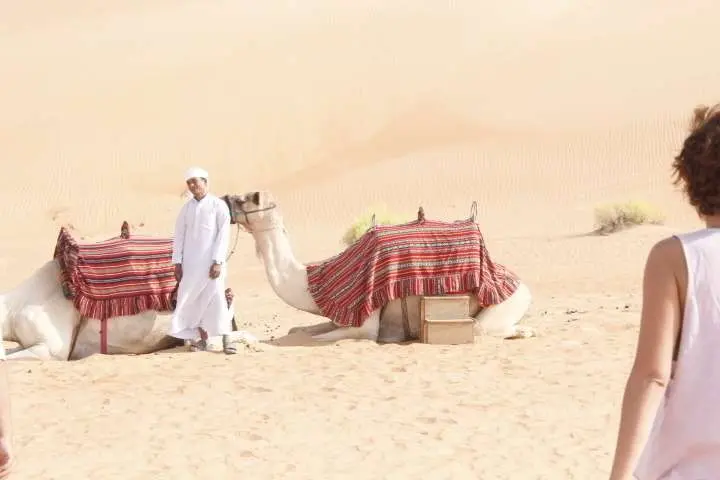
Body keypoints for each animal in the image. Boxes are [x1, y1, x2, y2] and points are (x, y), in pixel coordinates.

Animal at [225, 189, 536, 344]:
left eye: (245, 198)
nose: (226, 200)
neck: (311, 283)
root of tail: (522, 285)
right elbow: (298, 330)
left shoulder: (364, 323)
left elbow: (319, 336)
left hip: (504, 303)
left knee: (483, 329)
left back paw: (524, 331)